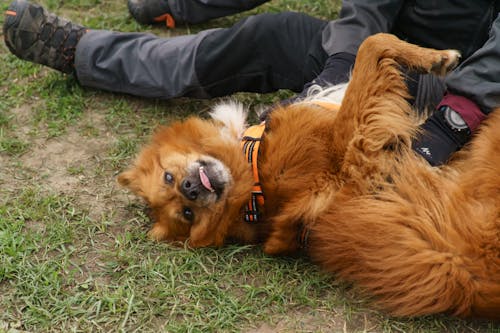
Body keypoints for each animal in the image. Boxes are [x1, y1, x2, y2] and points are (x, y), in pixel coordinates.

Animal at [118, 34, 500, 320]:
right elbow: (373, 43)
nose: (191, 189)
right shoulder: (353, 144)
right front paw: (439, 58)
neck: (253, 179)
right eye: (188, 214)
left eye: (170, 179)